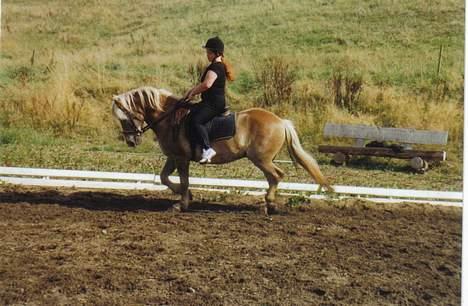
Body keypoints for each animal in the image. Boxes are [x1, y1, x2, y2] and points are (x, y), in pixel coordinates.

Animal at [112, 85, 332, 214]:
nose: (131, 141)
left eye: (124, 118)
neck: (169, 118)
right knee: (274, 177)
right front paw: (187, 196)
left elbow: (183, 181)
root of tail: (280, 121)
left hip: (261, 159)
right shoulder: (173, 157)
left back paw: (269, 204)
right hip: (263, 159)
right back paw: (269, 204)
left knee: (277, 175)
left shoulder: (181, 159)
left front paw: (181, 204)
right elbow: (165, 177)